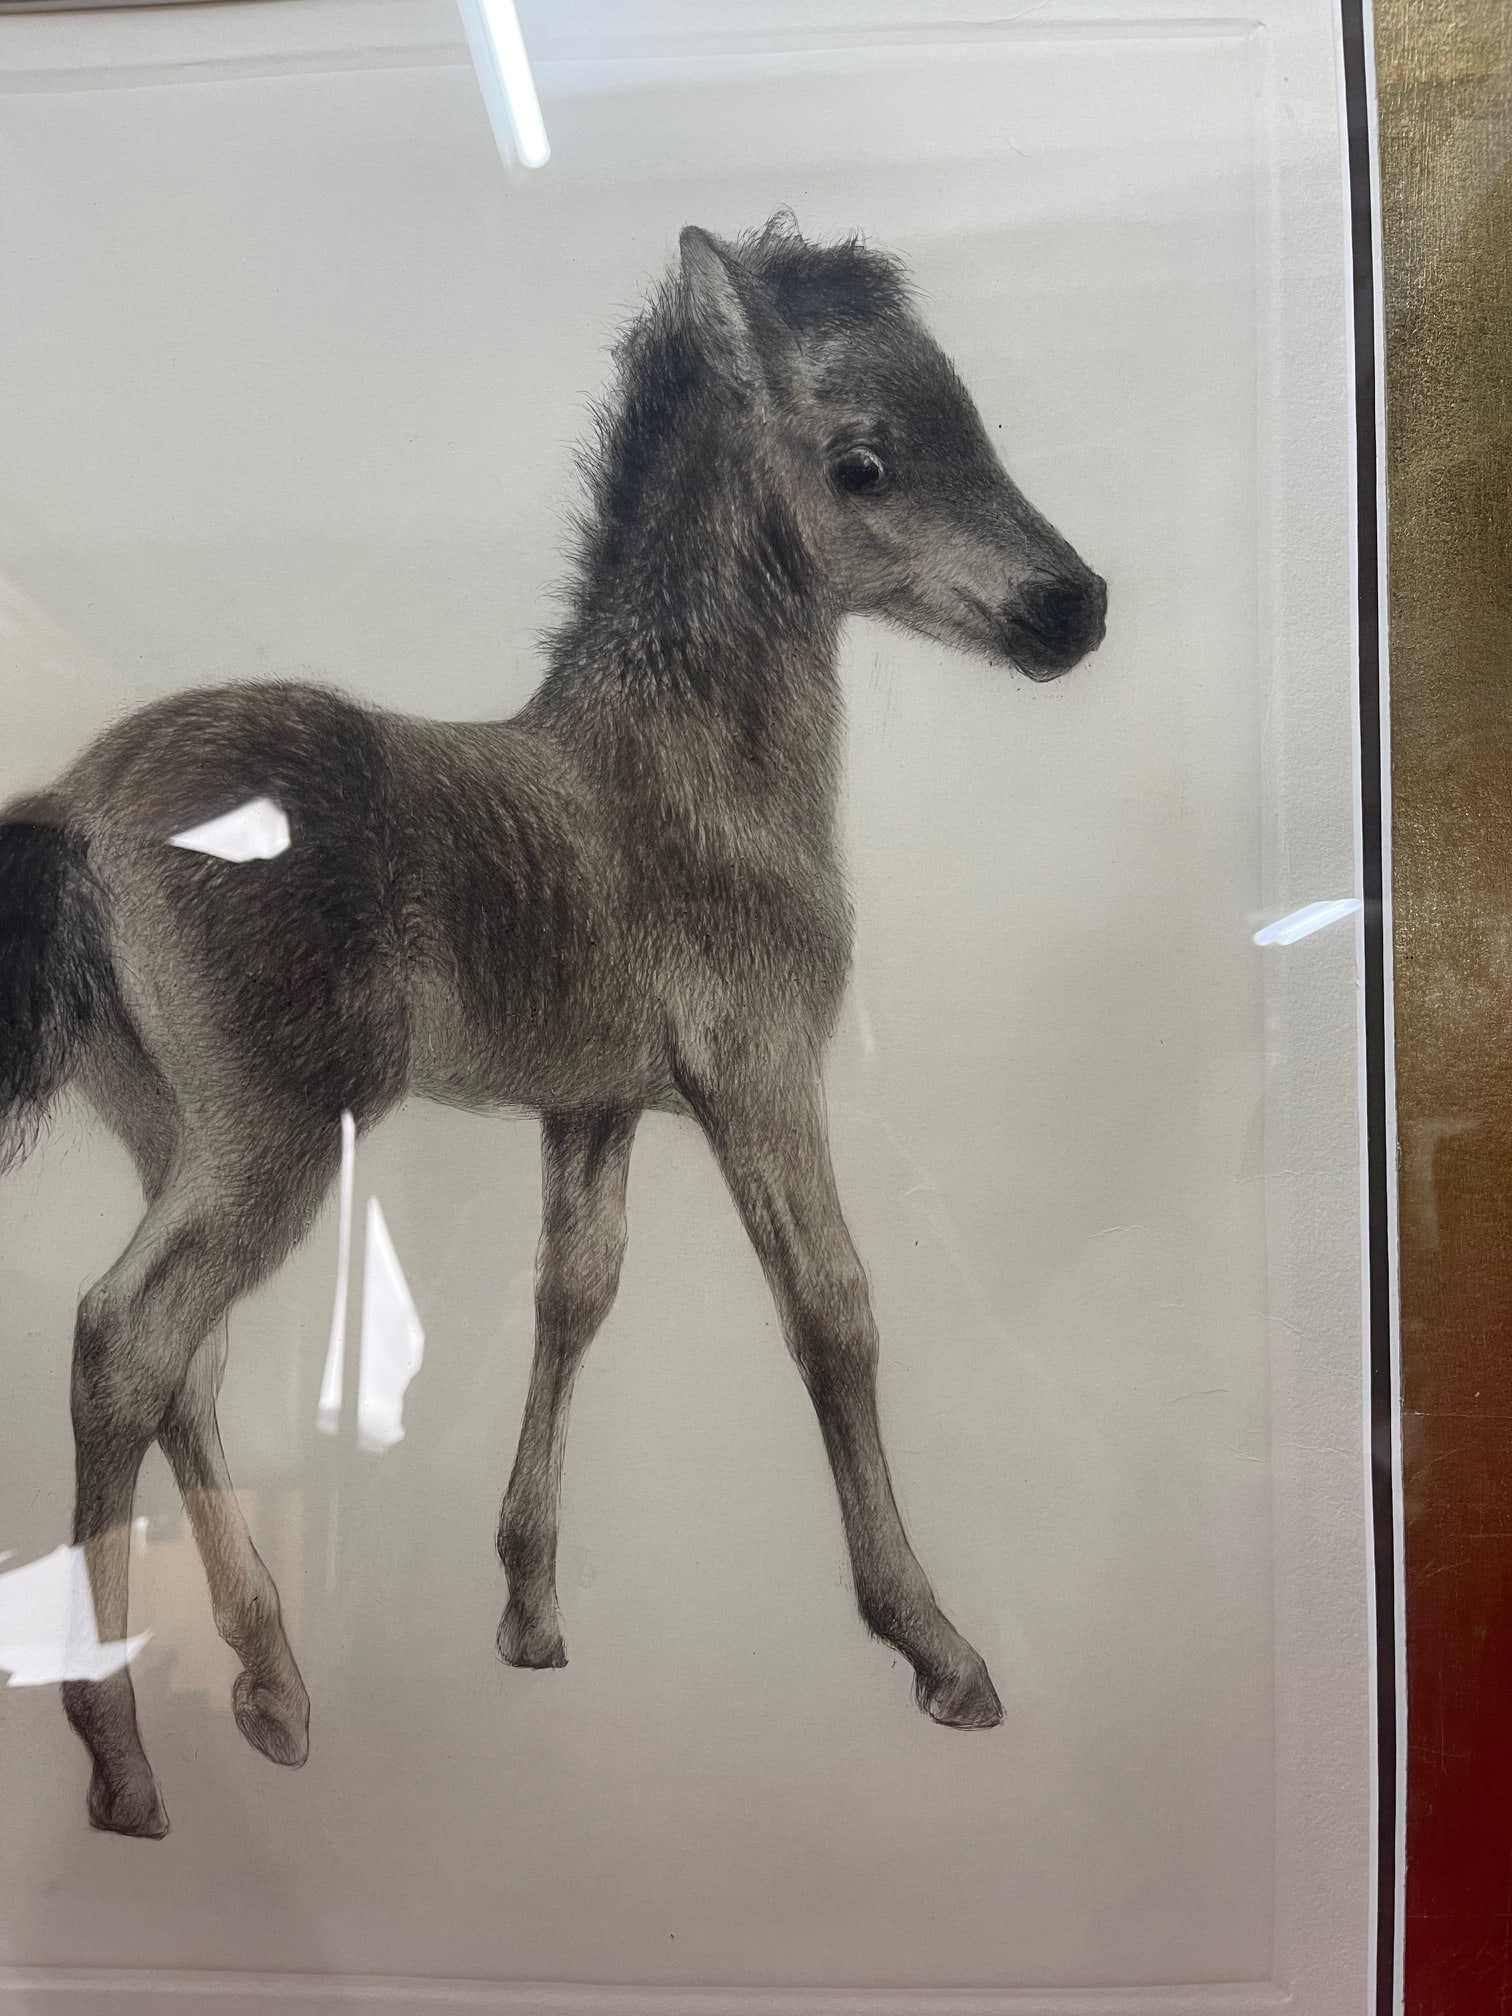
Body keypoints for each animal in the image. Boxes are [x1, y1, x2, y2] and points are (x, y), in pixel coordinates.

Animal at [0, 215, 1106, 1838]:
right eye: (866, 462)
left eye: (979, 428)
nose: (1073, 608)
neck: (683, 770)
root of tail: (76, 802)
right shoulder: (760, 1073)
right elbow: (833, 1311)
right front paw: (935, 1646)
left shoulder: (595, 1102)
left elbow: (573, 1295)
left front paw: (528, 1610)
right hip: (275, 1139)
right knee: (125, 1338)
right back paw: (125, 1756)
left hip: (170, 1127)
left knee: (181, 1360)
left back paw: (274, 1687)